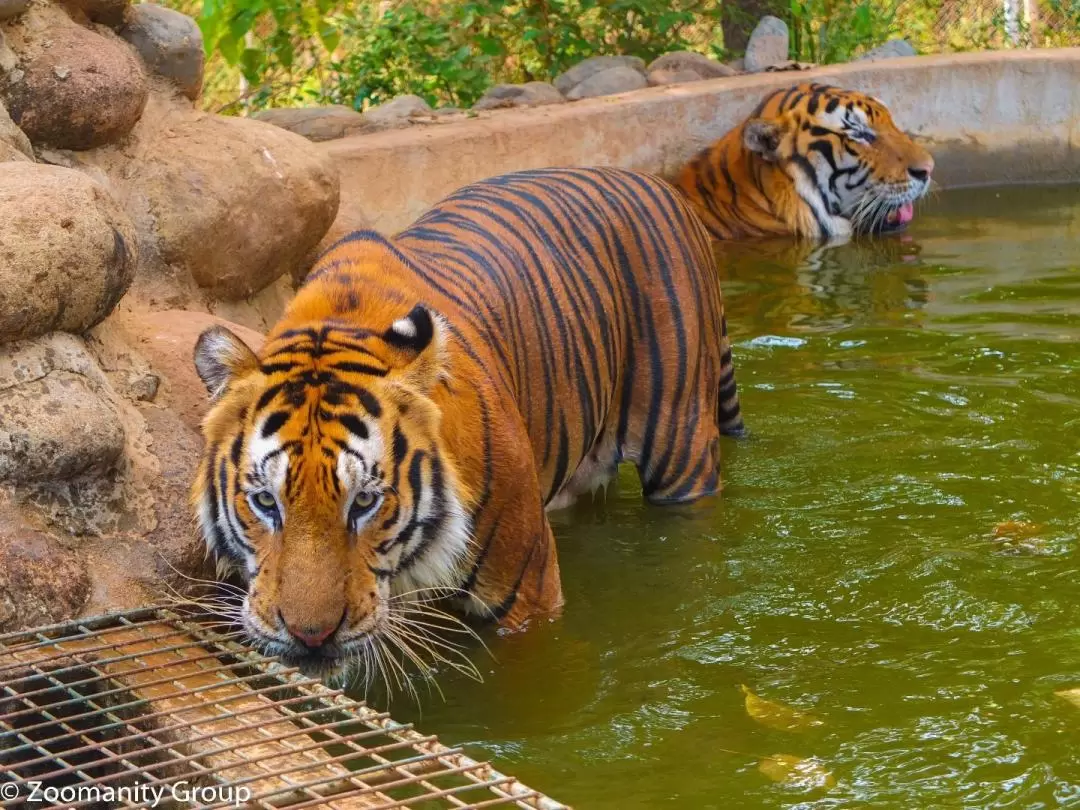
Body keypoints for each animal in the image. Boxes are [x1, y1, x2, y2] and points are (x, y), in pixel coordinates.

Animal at [192, 168, 743, 682]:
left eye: (364, 501)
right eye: (266, 502)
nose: (311, 635)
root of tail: (659, 185)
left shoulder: (529, 596)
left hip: (681, 445)